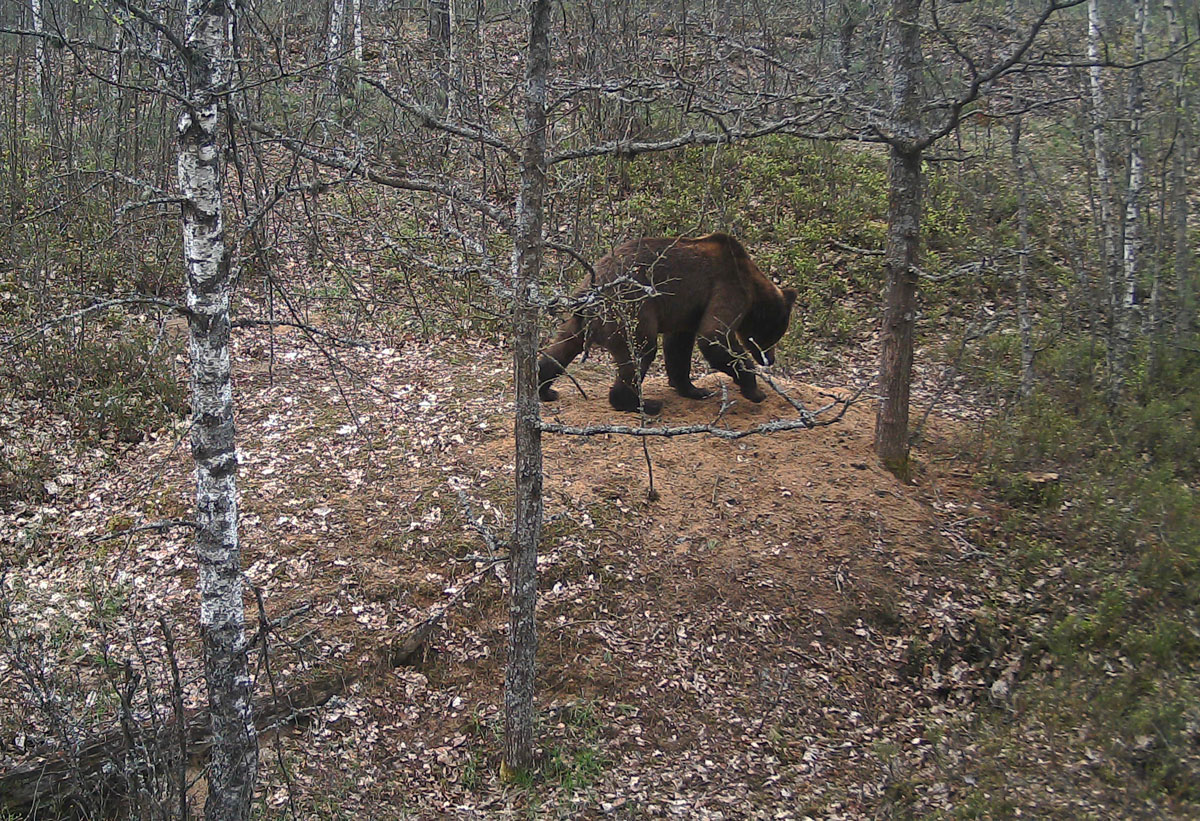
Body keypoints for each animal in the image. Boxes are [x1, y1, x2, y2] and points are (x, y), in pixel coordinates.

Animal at [538, 233, 798, 415]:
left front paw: (695, 389)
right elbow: (713, 335)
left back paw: (545, 388)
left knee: (561, 348)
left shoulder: (686, 310)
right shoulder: (727, 286)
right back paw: (642, 404)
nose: (769, 359)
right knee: (641, 351)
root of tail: (593, 291)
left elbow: (678, 348)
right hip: (630, 310)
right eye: (772, 336)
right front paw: (755, 390)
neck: (752, 285)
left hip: (579, 318)